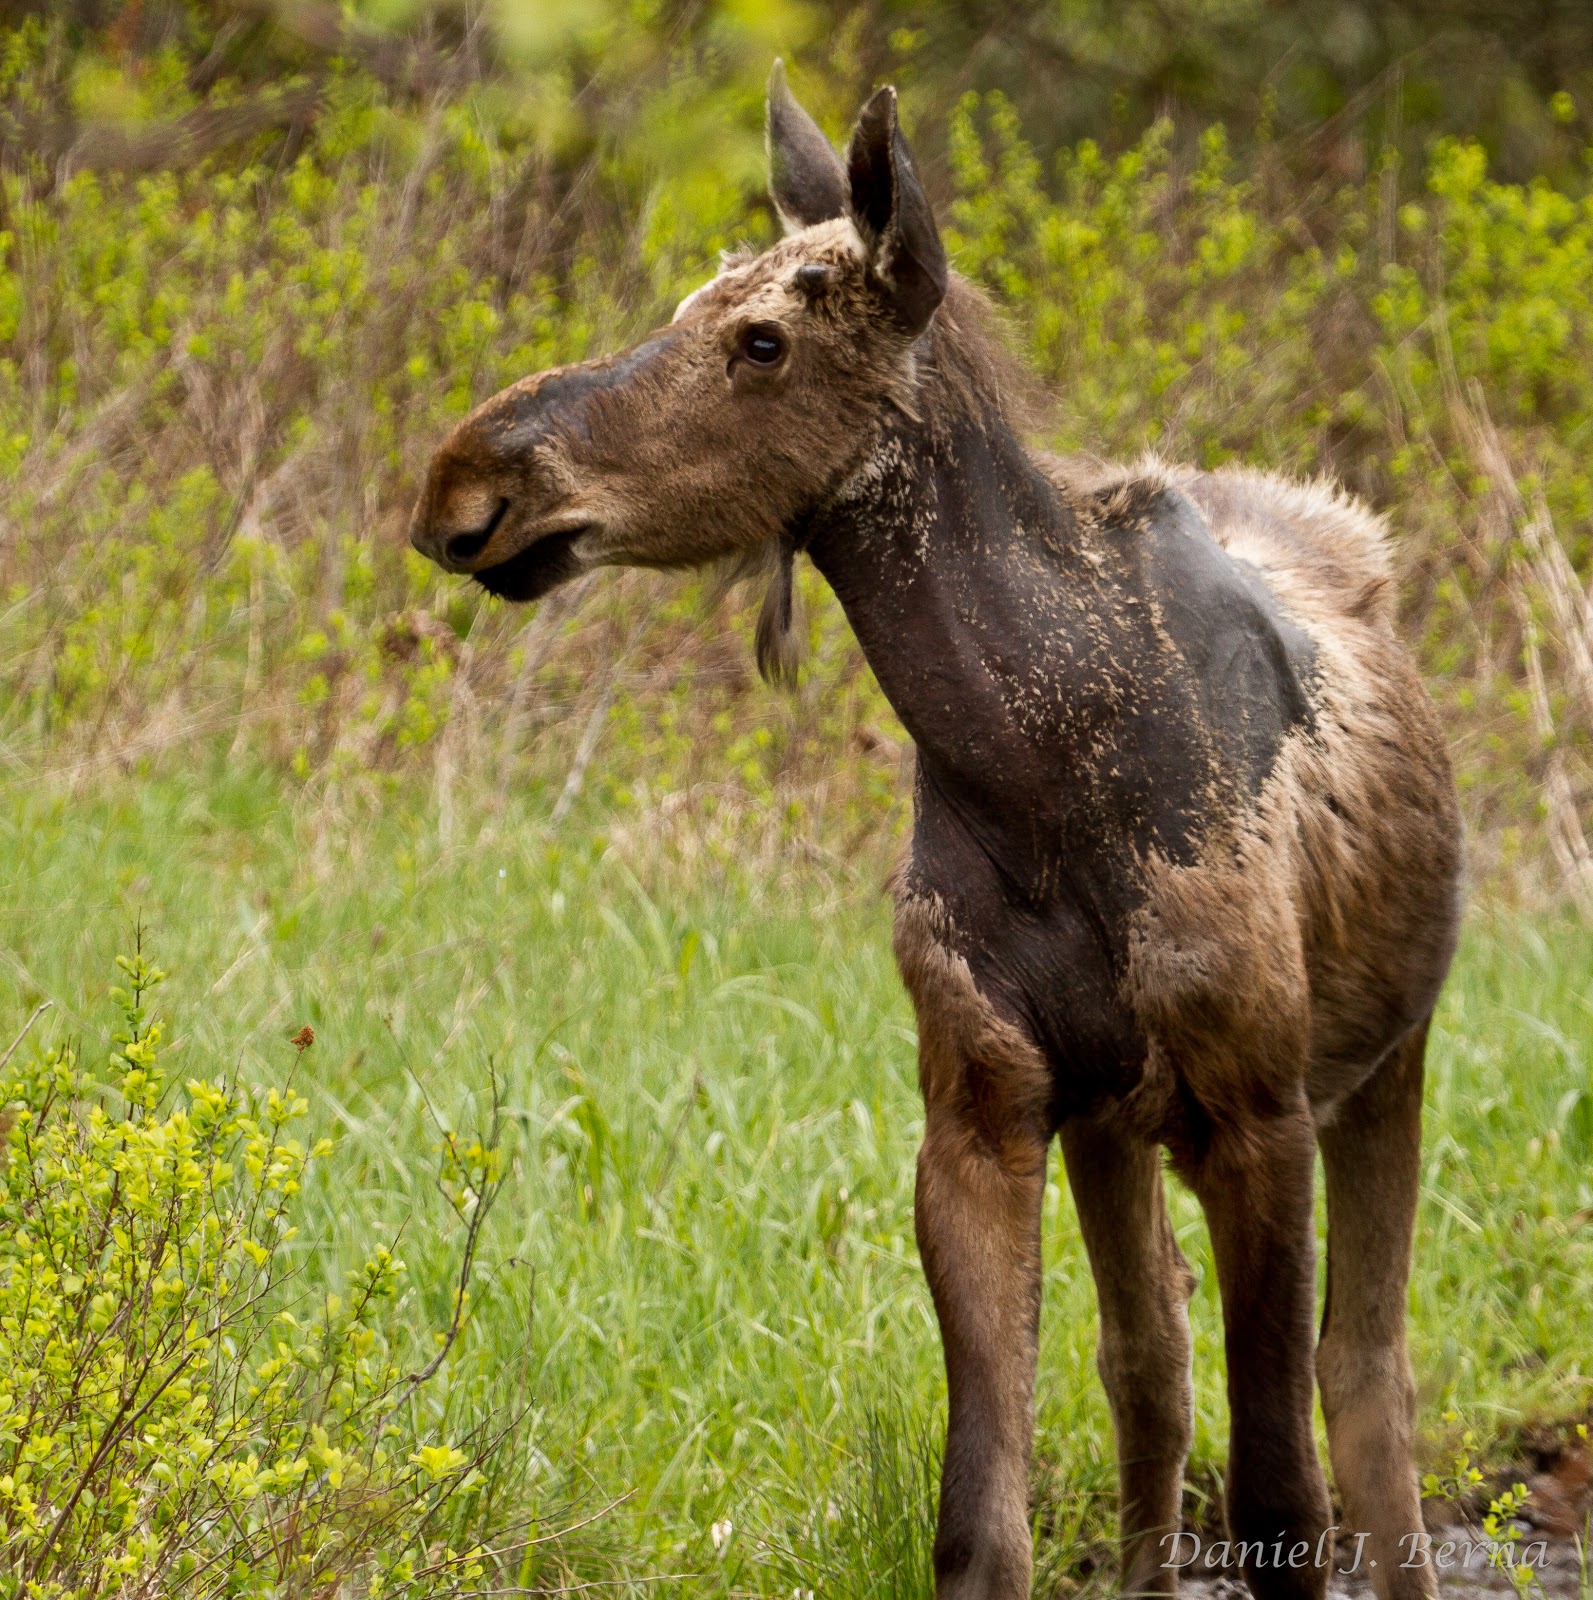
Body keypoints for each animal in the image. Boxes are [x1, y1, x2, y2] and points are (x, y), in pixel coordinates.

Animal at [409, 64, 1463, 1600]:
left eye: (763, 339)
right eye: (693, 300)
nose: (462, 483)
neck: (1036, 779)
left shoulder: (1258, 1110)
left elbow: (1284, 1495)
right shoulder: (979, 1100)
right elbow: (984, 1520)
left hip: (1385, 1064)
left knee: (1366, 1381)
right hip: (1117, 1120)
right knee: (1151, 1364)